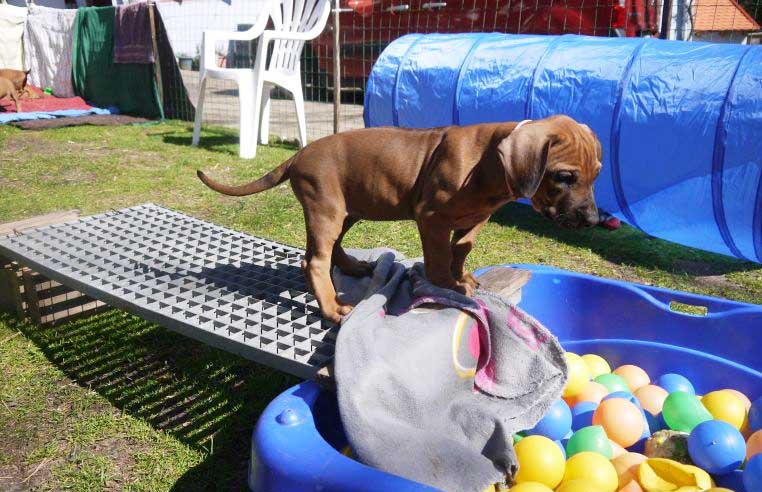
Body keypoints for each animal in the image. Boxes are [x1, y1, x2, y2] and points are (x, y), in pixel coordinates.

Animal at [199, 115, 604, 322]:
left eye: (597, 174)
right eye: (564, 177)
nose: (592, 220)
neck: (488, 165)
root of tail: (299, 155)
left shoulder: (477, 218)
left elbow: (463, 247)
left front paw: (463, 277)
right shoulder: (432, 218)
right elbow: (439, 257)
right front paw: (449, 286)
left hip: (349, 208)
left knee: (330, 250)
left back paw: (356, 268)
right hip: (326, 207)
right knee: (314, 261)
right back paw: (332, 308)